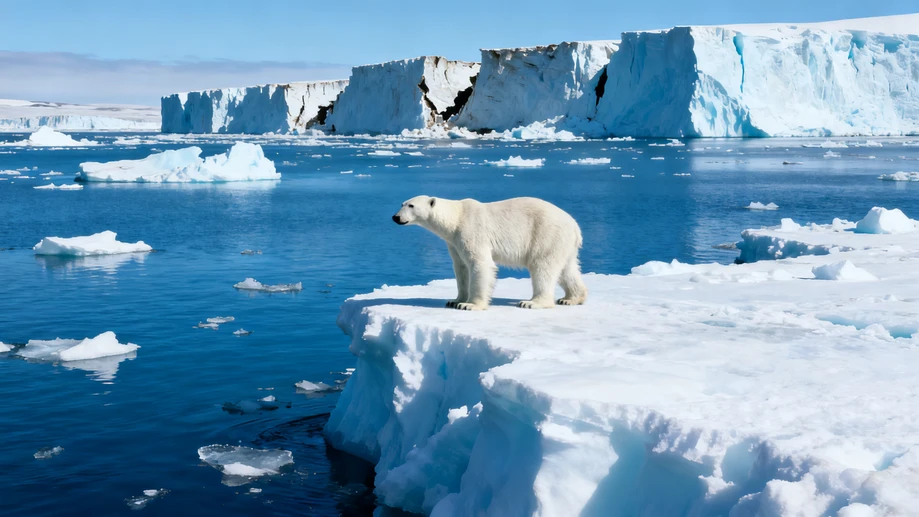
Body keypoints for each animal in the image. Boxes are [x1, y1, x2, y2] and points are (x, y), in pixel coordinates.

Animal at [392, 196, 587, 310]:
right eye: (402, 204)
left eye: (411, 205)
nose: (396, 217)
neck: (455, 218)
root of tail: (575, 226)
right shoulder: (454, 242)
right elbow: (461, 268)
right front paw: (454, 300)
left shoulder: (471, 231)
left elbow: (480, 264)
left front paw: (470, 305)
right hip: (563, 243)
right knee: (567, 269)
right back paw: (571, 298)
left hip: (545, 234)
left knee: (542, 267)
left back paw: (532, 302)